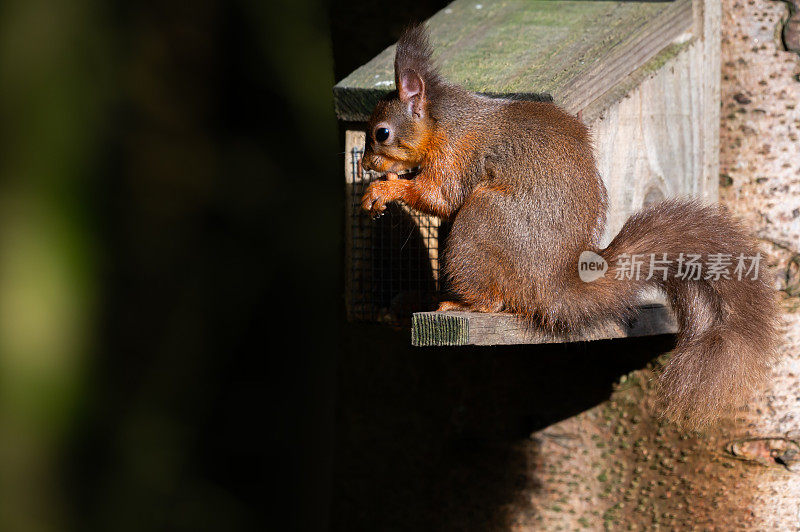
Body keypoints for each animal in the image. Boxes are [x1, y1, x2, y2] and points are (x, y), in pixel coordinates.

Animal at [360, 26, 780, 428]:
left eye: (382, 133)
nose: (364, 165)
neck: (442, 121)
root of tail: (549, 286)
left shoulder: (456, 154)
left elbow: (440, 196)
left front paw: (386, 188)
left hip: (482, 224)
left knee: (492, 299)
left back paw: (459, 304)